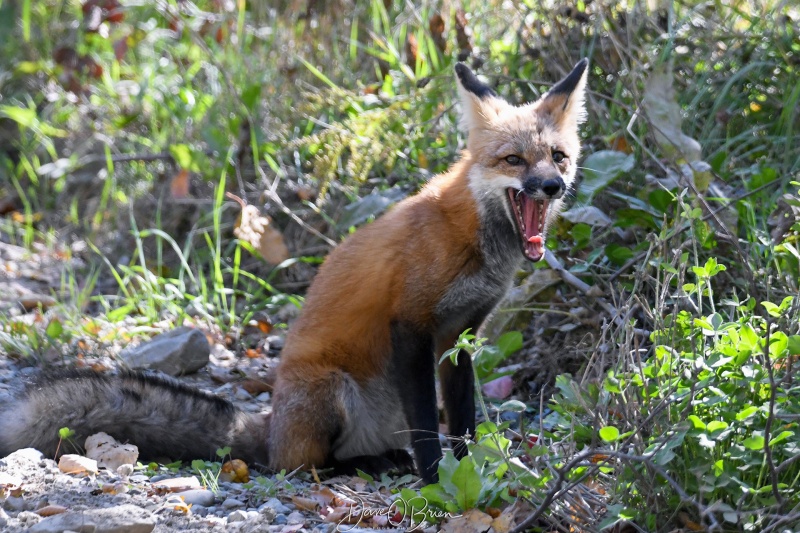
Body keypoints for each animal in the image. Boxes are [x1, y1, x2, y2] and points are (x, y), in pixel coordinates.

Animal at [0, 59, 588, 482]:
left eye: (558, 156)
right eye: (514, 160)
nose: (551, 186)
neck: (469, 237)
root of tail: (271, 424)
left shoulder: (459, 337)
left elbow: (461, 423)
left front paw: (468, 474)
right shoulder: (411, 328)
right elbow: (429, 427)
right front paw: (435, 480)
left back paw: (380, 459)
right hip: (332, 392)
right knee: (304, 466)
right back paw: (363, 464)